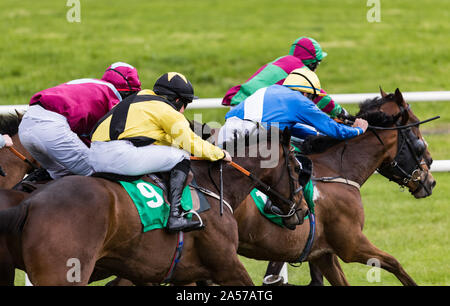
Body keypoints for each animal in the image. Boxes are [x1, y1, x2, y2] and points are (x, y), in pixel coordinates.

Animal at [0, 126, 308, 284]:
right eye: (296, 167)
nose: (303, 210)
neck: (213, 185)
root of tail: (31, 203)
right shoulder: (226, 265)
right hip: (63, 273)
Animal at [236, 88, 436, 284]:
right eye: (416, 132)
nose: (431, 180)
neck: (336, 168)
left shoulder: (322, 253)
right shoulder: (351, 245)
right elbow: (395, 264)